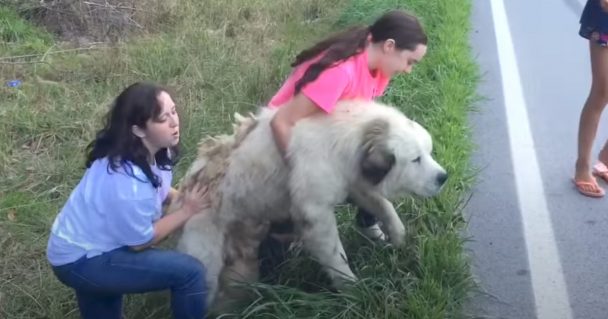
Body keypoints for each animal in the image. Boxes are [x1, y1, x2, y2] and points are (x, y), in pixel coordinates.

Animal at [170, 99, 446, 312]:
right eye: (416, 159)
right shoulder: (315, 213)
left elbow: (384, 206)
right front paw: (354, 291)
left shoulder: (353, 182)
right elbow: (336, 256)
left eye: (429, 152)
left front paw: (398, 238)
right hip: (205, 266)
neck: (349, 137)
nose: (444, 177)